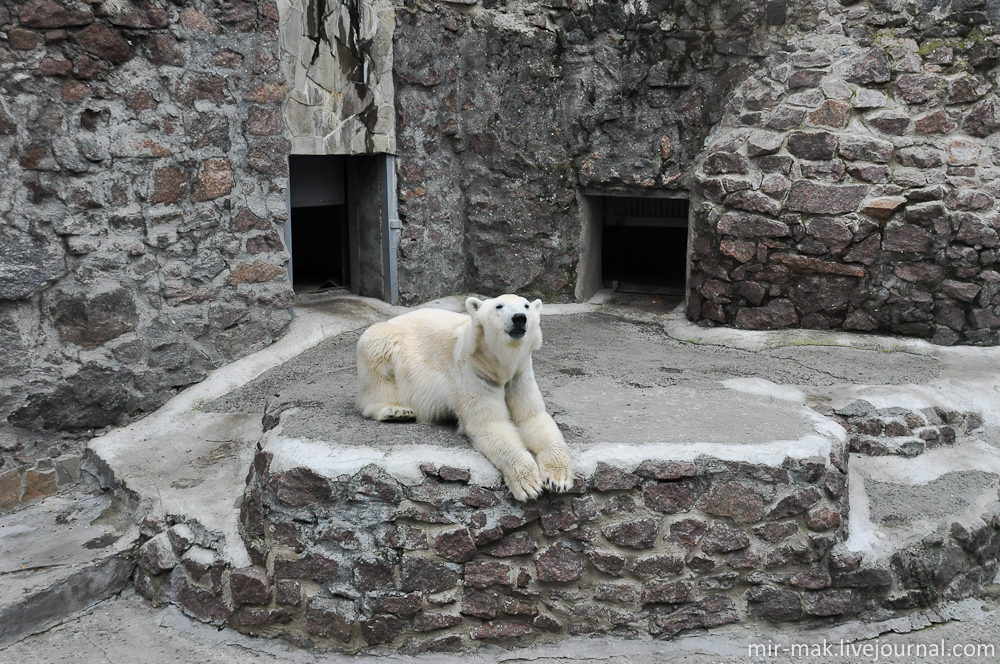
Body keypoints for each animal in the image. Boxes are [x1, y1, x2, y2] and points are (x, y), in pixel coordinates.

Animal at [354, 294, 572, 500]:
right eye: (499, 306)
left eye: (526, 306)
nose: (519, 318)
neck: (500, 366)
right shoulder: (474, 372)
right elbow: (490, 424)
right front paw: (528, 484)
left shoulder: (520, 374)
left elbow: (533, 418)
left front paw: (558, 479)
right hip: (386, 343)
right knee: (378, 360)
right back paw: (396, 411)